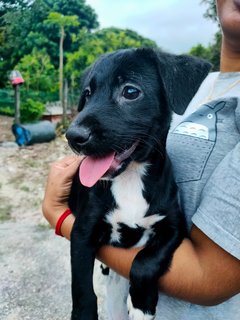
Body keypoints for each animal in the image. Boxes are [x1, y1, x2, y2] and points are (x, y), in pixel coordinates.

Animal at [65, 48, 210, 320]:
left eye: (130, 92)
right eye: (87, 94)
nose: (73, 136)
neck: (130, 177)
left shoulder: (173, 228)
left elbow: (146, 260)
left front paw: (143, 304)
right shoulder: (81, 232)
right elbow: (81, 287)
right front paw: (83, 314)